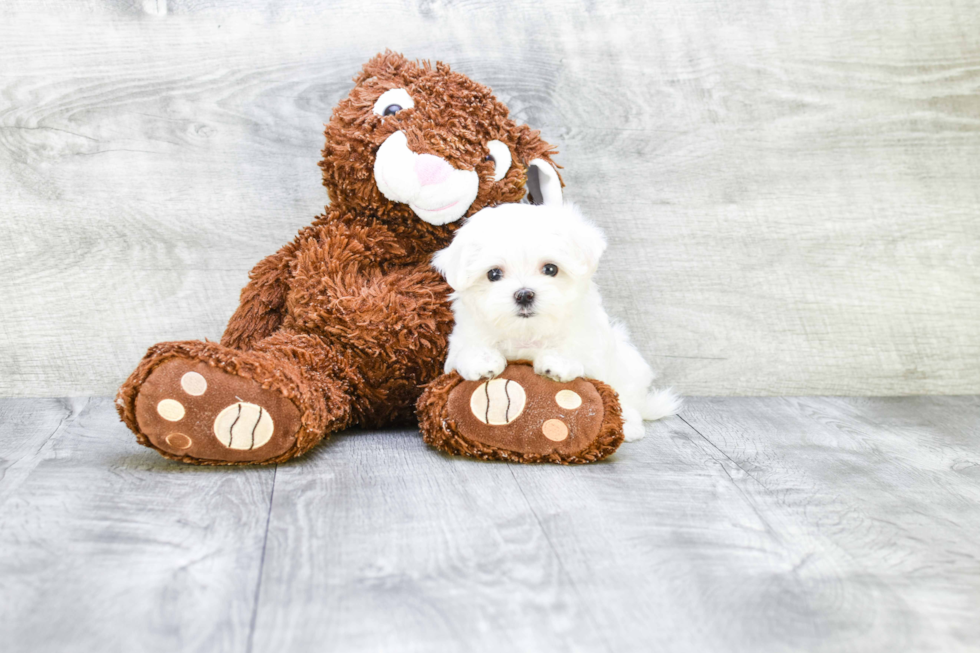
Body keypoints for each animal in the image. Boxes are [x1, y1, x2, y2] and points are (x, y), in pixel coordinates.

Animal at [432, 201, 676, 440]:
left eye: (550, 269)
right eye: (493, 274)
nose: (524, 294)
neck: (527, 332)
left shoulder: (591, 345)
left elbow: (579, 353)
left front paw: (558, 363)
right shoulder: (464, 337)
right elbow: (469, 349)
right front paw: (482, 361)